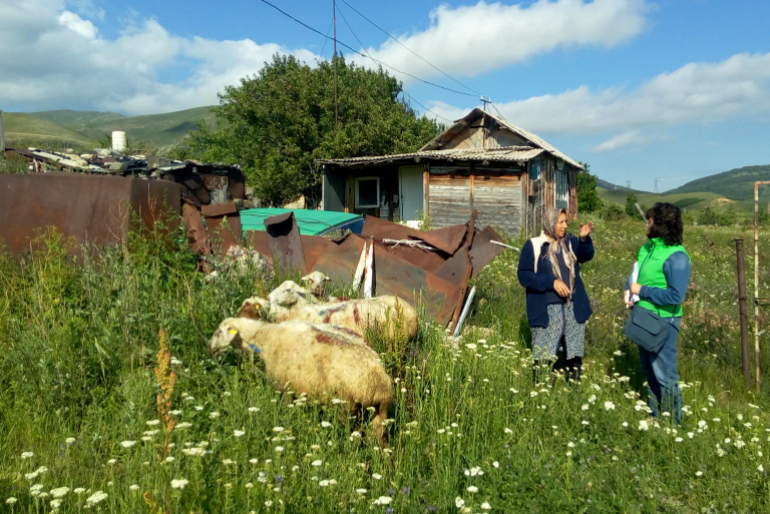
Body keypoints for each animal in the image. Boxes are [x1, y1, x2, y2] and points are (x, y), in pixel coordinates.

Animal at [208, 316, 392, 444]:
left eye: (218, 332)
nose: (209, 348)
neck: (265, 338)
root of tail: (379, 380)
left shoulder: (285, 389)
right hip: (379, 411)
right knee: (382, 440)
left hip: (347, 408)